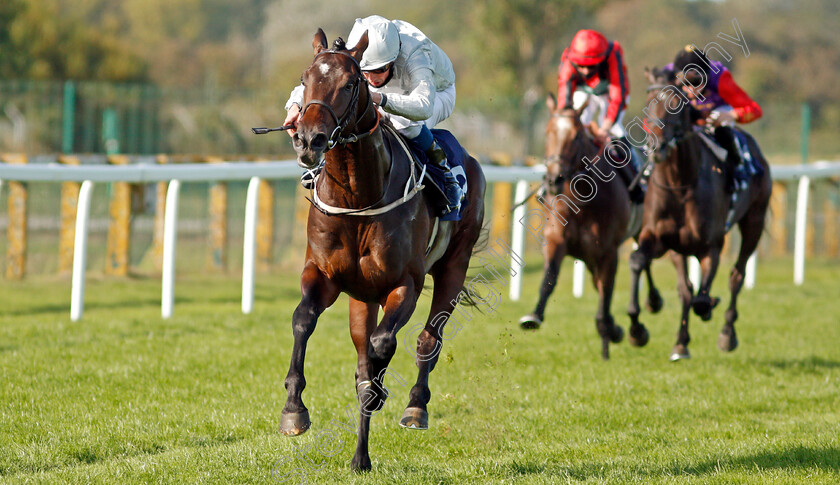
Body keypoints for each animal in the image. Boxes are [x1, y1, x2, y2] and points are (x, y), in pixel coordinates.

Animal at [280, 29, 486, 468]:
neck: (359, 198)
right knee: (364, 353)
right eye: (305, 78)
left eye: (349, 83)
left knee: (428, 340)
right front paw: (294, 410)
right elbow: (304, 320)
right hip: (363, 297)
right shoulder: (322, 275)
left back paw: (415, 407)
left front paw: (381, 393)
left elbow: (383, 345)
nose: (308, 139)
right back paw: (360, 457)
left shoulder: (404, 284)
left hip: (453, 267)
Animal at [520, 94, 664, 360]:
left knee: (645, 263)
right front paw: (534, 316)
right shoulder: (556, 241)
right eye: (547, 132)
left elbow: (606, 294)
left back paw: (647, 310)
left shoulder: (608, 252)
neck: (582, 201)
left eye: (576, 136)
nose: (554, 178)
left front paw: (613, 330)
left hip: (644, 228)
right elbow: (550, 278)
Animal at [632, 69, 776, 360]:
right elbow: (677, 286)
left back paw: (727, 334)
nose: (656, 148)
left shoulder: (712, 246)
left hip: (754, 221)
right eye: (649, 101)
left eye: (676, 106)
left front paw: (709, 307)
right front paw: (673, 340)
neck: (680, 184)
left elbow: (701, 297)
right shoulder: (663, 240)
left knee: (737, 276)